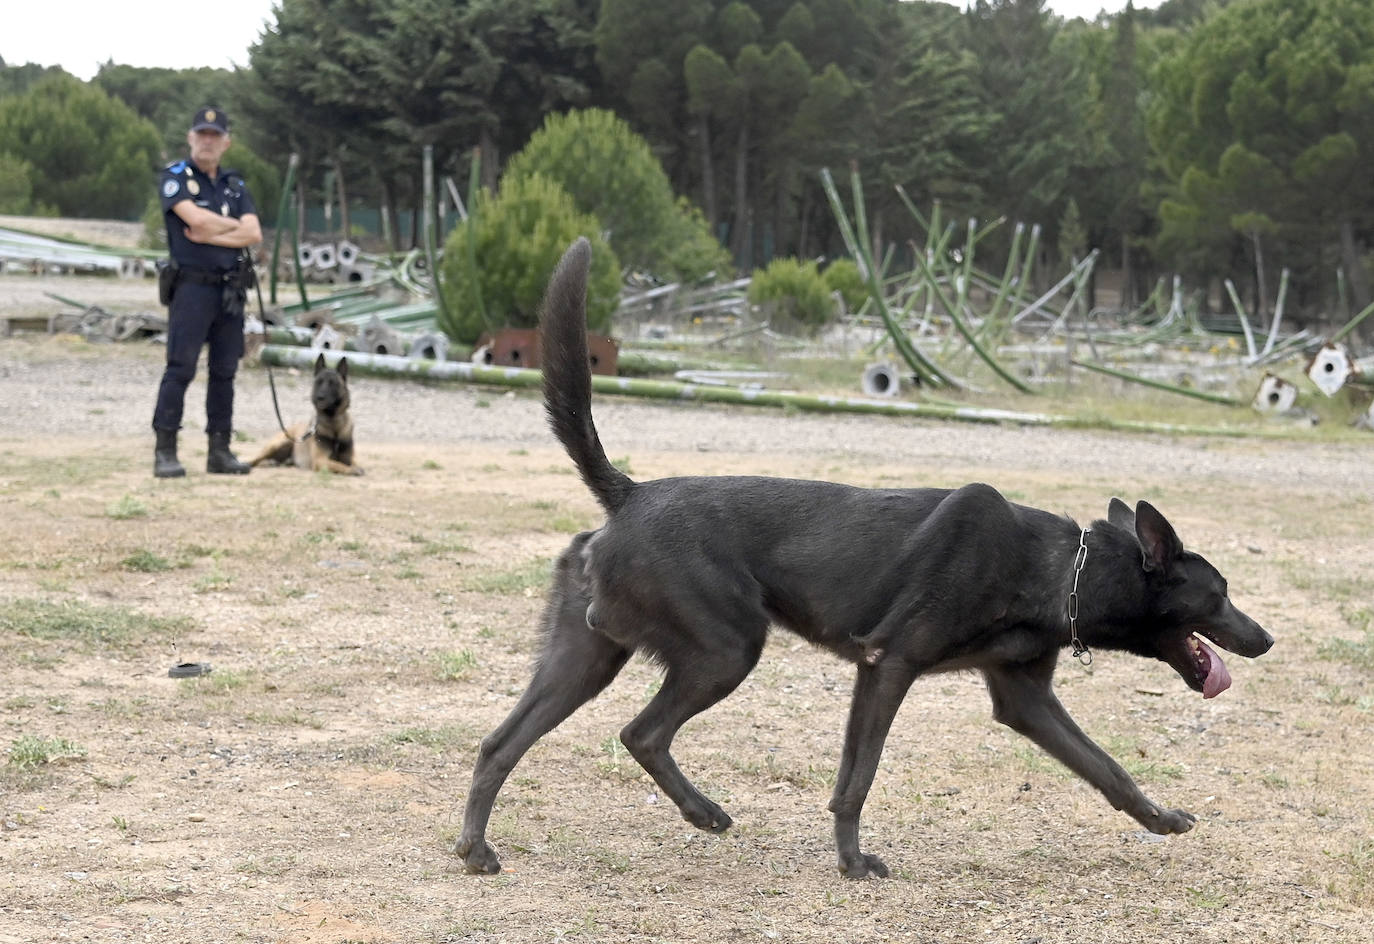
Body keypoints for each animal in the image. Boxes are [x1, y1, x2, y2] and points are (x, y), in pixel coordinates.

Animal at [151, 107, 261, 480]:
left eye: (215, 134)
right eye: (202, 133)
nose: (207, 143)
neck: (209, 174)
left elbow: (247, 224)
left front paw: (224, 456)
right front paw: (167, 459)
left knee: (222, 375)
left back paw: (222, 459)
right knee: (179, 373)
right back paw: (166, 461)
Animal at [456, 240, 1269, 884]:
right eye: (1220, 592)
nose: (1265, 638)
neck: (1055, 568)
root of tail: (630, 493)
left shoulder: (1024, 698)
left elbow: (1106, 766)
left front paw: (1160, 818)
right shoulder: (889, 664)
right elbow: (858, 778)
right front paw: (852, 863)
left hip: (588, 654)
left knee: (502, 742)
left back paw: (478, 849)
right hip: (725, 648)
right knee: (642, 732)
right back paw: (702, 813)